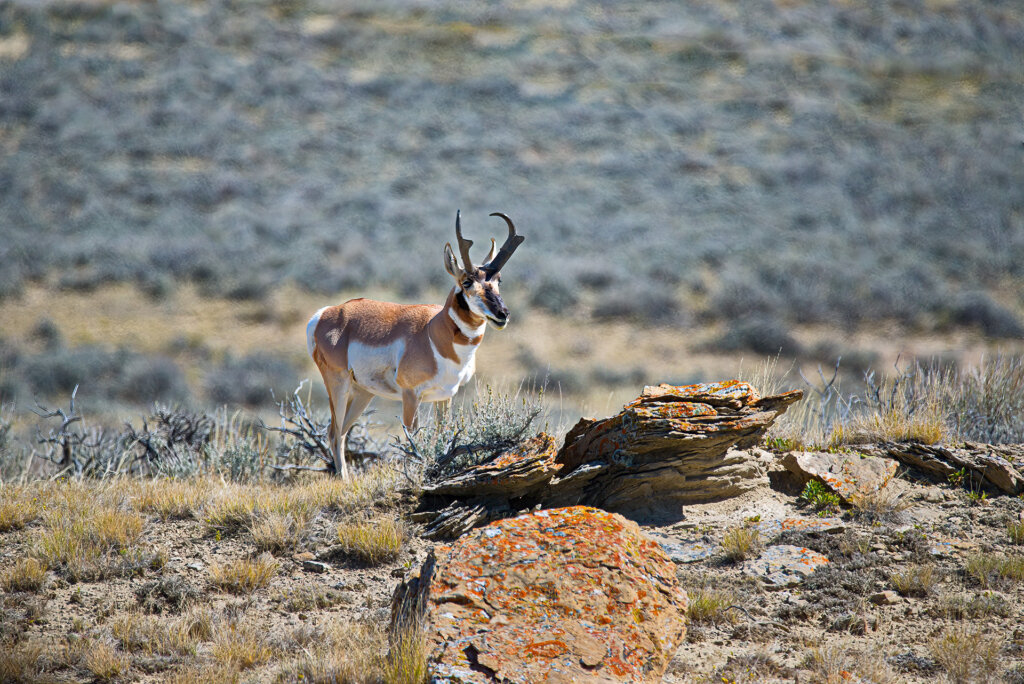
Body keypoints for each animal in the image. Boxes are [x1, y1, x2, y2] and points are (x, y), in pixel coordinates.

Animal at [303, 210, 524, 479]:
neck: (432, 332)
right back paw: (344, 481)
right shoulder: (410, 395)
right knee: (334, 432)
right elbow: (413, 441)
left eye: (498, 280)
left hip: (363, 392)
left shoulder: (445, 396)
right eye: (467, 282)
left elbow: (442, 437)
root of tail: (326, 313)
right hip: (338, 384)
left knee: (341, 431)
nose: (502, 314)